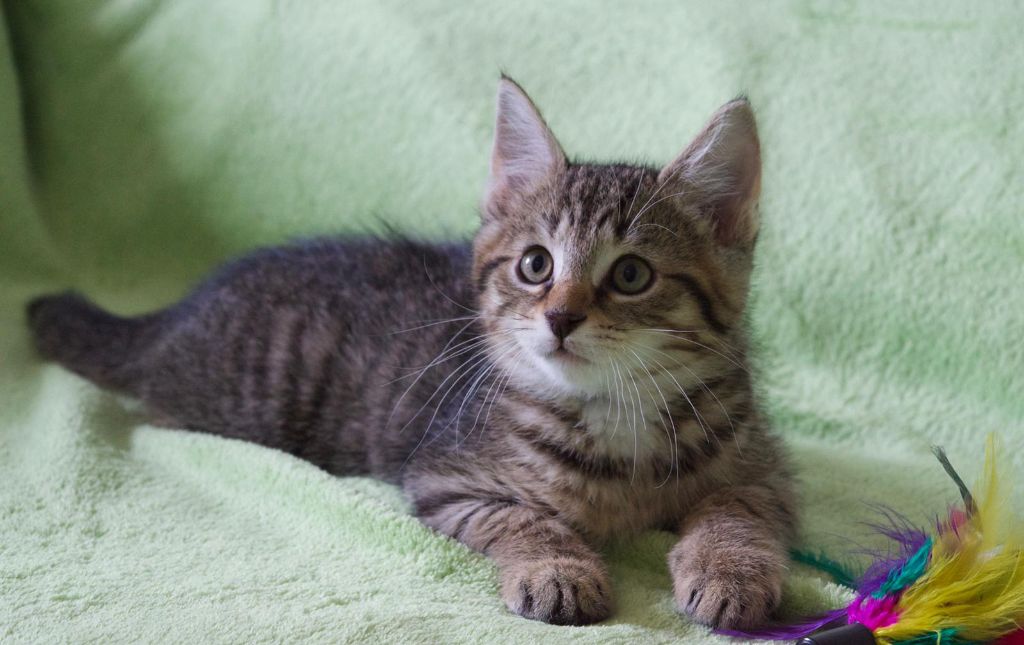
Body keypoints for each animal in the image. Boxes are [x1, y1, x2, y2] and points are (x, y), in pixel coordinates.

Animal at [22, 77, 790, 630]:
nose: (561, 317)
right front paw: (557, 570)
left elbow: (737, 512)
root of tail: (179, 312)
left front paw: (729, 572)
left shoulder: (762, 469)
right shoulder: (447, 478)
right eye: (535, 265)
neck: (615, 414)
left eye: (631, 275)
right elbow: (523, 517)